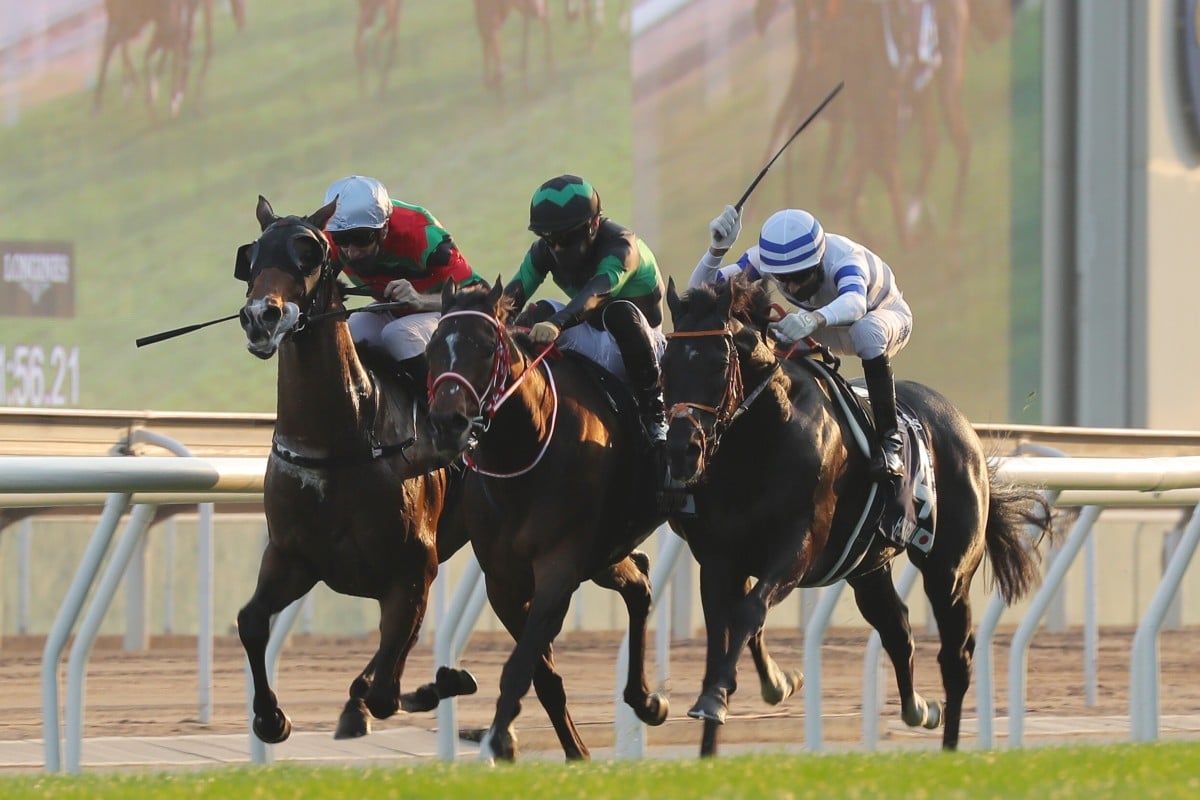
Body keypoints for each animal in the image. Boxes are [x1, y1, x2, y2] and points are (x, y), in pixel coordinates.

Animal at [231, 196, 475, 748]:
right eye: (251, 255)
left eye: (310, 252)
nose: (260, 316)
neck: (340, 440)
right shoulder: (292, 555)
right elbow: (251, 621)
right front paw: (270, 717)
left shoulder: (413, 568)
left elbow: (387, 684)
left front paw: (435, 686)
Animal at [424, 283, 672, 762]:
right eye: (431, 349)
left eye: (486, 348)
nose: (447, 423)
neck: (528, 445)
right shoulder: (504, 581)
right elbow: (543, 676)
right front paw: (573, 752)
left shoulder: (559, 568)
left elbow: (521, 666)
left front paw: (500, 739)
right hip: (605, 552)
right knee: (639, 584)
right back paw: (646, 700)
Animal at [657, 277, 1051, 758]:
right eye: (665, 362)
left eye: (718, 363)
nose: (681, 450)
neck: (761, 439)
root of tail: (963, 427)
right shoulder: (718, 559)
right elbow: (723, 633)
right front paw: (717, 722)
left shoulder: (798, 548)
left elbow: (749, 613)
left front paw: (721, 697)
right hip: (868, 567)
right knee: (897, 627)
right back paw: (918, 709)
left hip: (950, 570)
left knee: (955, 657)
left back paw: (949, 748)